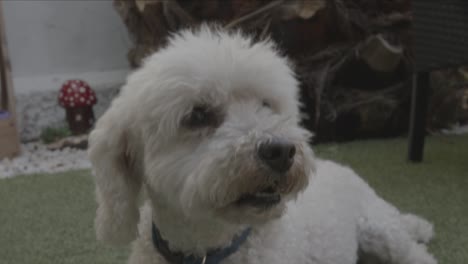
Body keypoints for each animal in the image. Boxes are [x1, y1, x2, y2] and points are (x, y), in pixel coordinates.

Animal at [88, 25, 438, 264]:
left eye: (266, 105)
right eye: (197, 115)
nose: (281, 151)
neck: (210, 248)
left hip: (381, 231)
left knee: (416, 254)